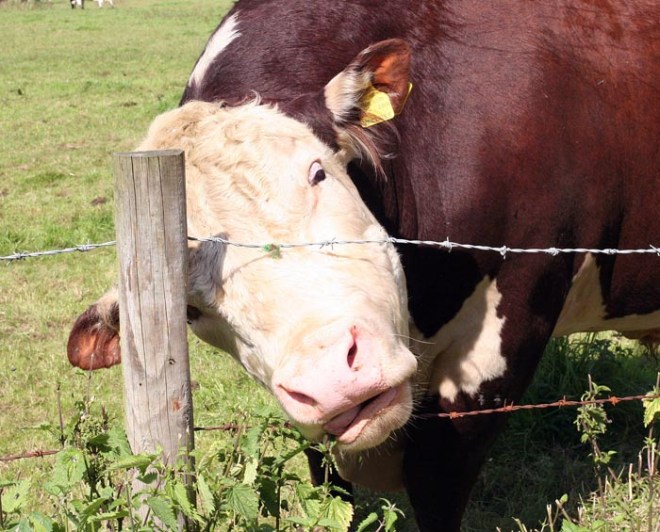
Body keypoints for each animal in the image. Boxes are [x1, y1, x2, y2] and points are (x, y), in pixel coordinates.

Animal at [69, 1, 659, 529]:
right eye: (189, 307)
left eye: (317, 173)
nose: (332, 378)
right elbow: (328, 485)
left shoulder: (504, 334)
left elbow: (437, 481)